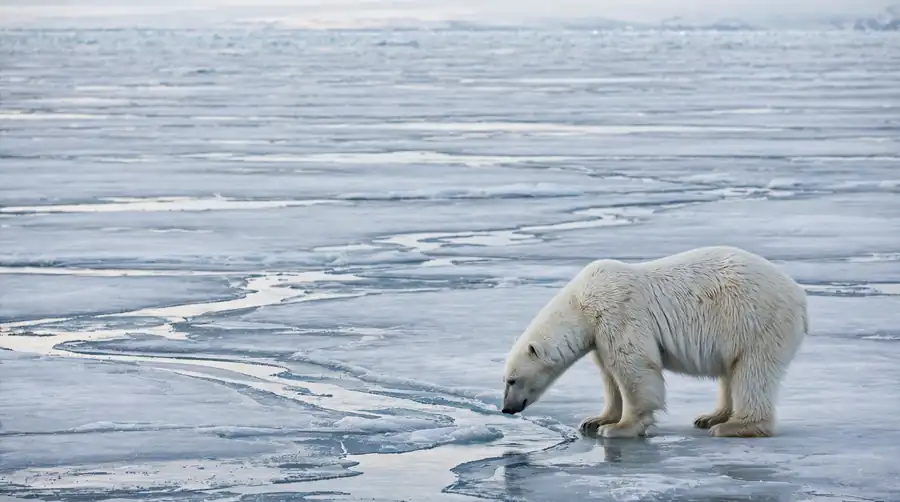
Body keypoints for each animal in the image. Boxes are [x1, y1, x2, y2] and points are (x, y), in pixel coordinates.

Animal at [500, 245, 808, 439]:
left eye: (512, 380)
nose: (506, 408)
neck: (581, 303)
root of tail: (800, 296)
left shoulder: (617, 312)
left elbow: (634, 366)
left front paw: (619, 428)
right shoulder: (599, 335)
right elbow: (609, 375)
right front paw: (596, 419)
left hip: (755, 320)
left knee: (752, 371)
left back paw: (734, 426)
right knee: (731, 371)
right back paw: (711, 417)